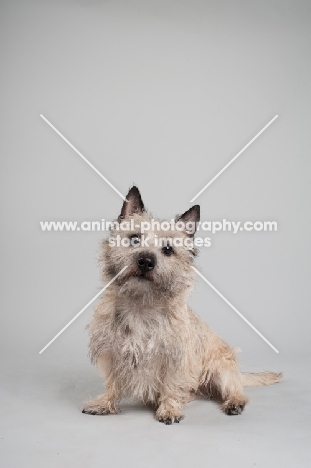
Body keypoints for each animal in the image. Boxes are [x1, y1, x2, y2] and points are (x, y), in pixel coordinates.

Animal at [83, 186, 282, 424]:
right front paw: (105, 403)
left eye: (168, 249)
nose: (146, 261)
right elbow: (112, 382)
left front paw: (169, 409)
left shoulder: (176, 357)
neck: (141, 304)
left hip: (221, 368)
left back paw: (234, 402)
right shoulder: (112, 353)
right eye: (134, 239)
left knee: (235, 388)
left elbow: (170, 384)